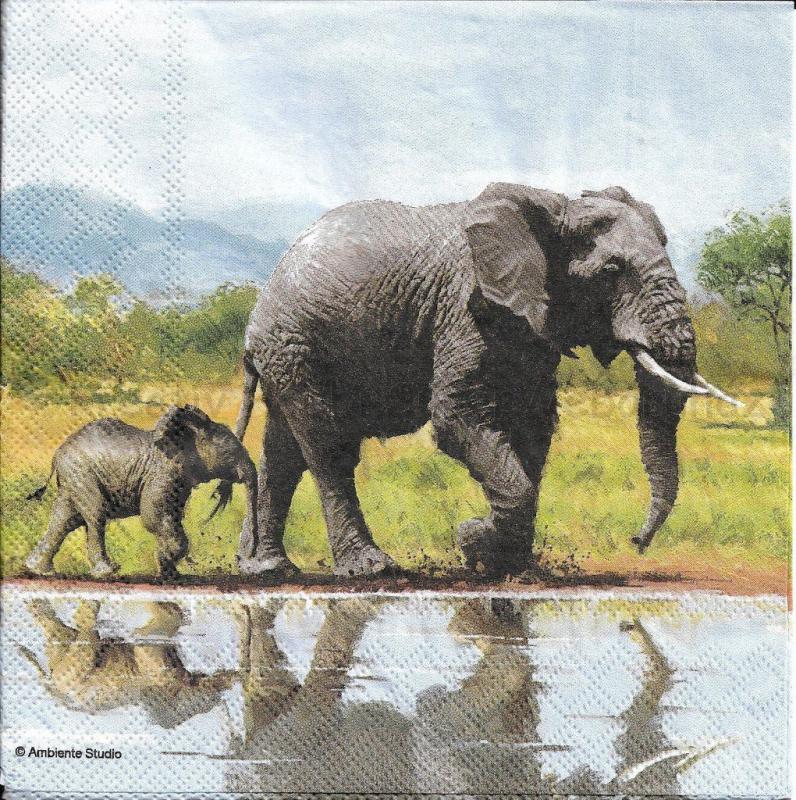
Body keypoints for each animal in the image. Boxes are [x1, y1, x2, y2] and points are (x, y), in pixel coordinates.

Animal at [25, 404, 258, 579]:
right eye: (230, 453)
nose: (247, 559)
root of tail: (57, 454)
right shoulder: (161, 474)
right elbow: (154, 515)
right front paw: (169, 559)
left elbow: (170, 515)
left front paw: (171, 572)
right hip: (81, 473)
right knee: (95, 515)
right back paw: (107, 572)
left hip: (73, 478)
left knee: (65, 519)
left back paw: (39, 570)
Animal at [233, 182, 740, 580]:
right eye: (612, 271)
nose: (636, 542)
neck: (554, 208)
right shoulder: (463, 308)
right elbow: (457, 416)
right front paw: (473, 540)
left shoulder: (531, 321)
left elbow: (532, 425)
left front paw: (501, 561)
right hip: (295, 344)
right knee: (326, 445)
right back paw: (371, 568)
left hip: (288, 352)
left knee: (284, 451)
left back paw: (267, 568)